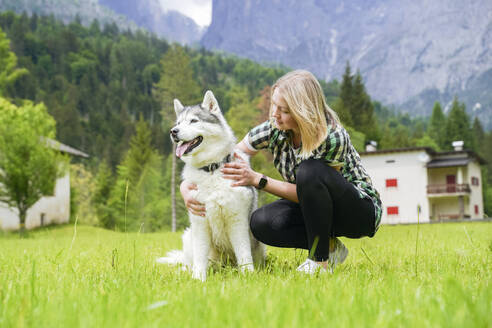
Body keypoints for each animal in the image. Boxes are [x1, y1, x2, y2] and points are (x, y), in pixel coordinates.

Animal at [157, 90, 266, 282]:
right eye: (178, 123)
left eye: (194, 121)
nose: (173, 131)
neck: (211, 169)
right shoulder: (200, 222)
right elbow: (200, 256)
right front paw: (198, 278)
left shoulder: (237, 221)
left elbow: (244, 254)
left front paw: (248, 275)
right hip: (189, 236)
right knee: (190, 261)